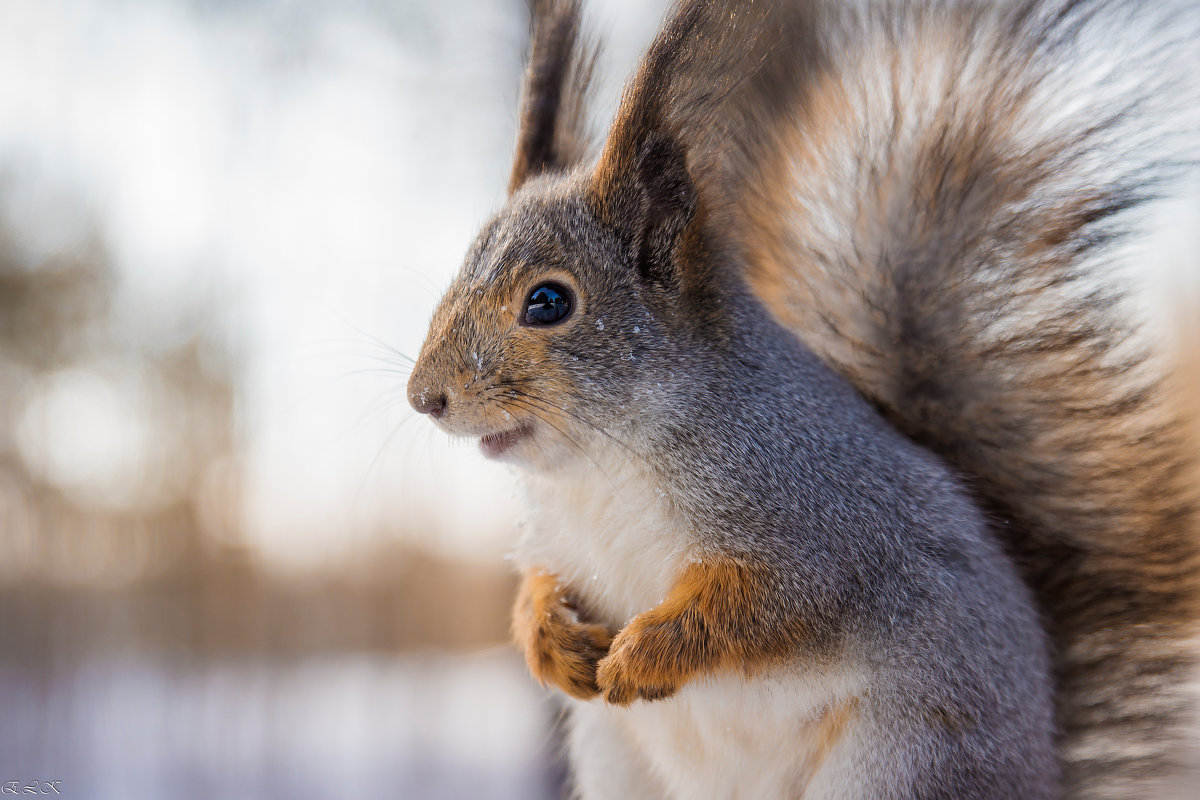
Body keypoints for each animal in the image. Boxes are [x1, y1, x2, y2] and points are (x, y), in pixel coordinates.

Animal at [408, 1, 1195, 800]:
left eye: (548, 302)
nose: (423, 398)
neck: (602, 465)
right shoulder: (559, 542)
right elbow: (537, 586)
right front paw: (552, 643)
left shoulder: (820, 522)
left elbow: (766, 607)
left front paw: (642, 656)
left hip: (901, 764)